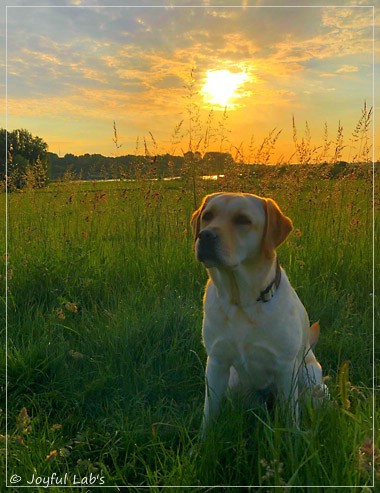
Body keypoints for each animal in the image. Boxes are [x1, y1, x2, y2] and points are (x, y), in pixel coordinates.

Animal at [191, 190, 328, 432]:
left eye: (243, 220)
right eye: (207, 216)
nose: (205, 236)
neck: (241, 301)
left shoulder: (285, 368)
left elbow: (291, 417)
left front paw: (293, 439)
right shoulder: (216, 362)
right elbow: (209, 413)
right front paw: (203, 440)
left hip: (310, 379)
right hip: (233, 383)